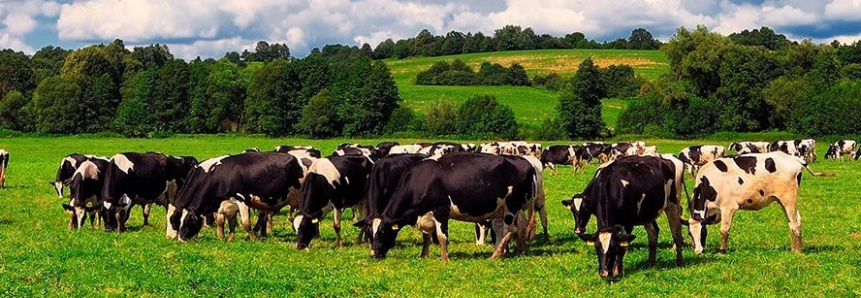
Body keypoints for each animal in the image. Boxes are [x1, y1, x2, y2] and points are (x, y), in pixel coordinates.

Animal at [170, 152, 302, 241]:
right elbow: (226, 222)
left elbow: (245, 223)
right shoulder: (226, 204)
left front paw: (253, 239)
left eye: (187, 221)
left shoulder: (242, 200)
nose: (180, 239)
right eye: (178, 221)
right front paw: (226, 238)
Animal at [370, 154, 536, 260]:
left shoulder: (440, 211)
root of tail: (526, 163)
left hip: (510, 207)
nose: (373, 254)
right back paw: (519, 252)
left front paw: (444, 259)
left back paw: (496, 255)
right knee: (521, 227)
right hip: (518, 208)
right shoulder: (426, 215)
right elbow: (426, 237)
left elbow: (442, 237)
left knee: (510, 231)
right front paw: (424, 256)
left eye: (382, 232)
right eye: (370, 233)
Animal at [556, 155, 684, 280]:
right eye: (597, 248)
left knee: (676, 231)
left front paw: (618, 271)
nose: (604, 272)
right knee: (653, 232)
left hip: (673, 203)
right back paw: (651, 263)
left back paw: (679, 261)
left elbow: (622, 247)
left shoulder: (627, 223)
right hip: (647, 212)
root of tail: (666, 160)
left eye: (612, 248)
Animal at [684, 152, 828, 255]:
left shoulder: (728, 207)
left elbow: (724, 231)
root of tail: (792, 158)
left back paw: (797, 251)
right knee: (794, 221)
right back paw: (794, 248)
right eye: (690, 234)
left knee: (795, 222)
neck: (708, 183)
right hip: (783, 202)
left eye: (703, 232)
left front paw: (722, 251)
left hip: (789, 199)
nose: (698, 251)